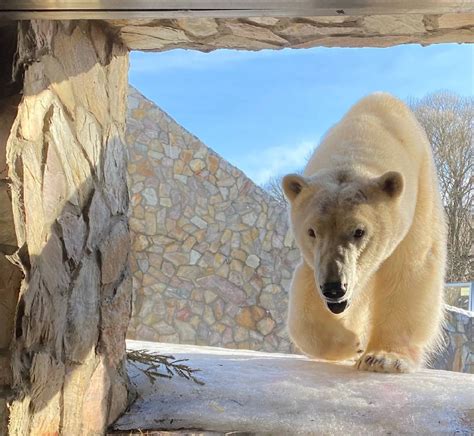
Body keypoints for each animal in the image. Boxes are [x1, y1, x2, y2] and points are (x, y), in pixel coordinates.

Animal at [284, 93, 446, 372]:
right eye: (312, 231)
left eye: (359, 231)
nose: (334, 288)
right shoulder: (315, 259)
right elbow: (306, 291)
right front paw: (351, 342)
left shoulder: (420, 200)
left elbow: (410, 269)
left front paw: (383, 358)